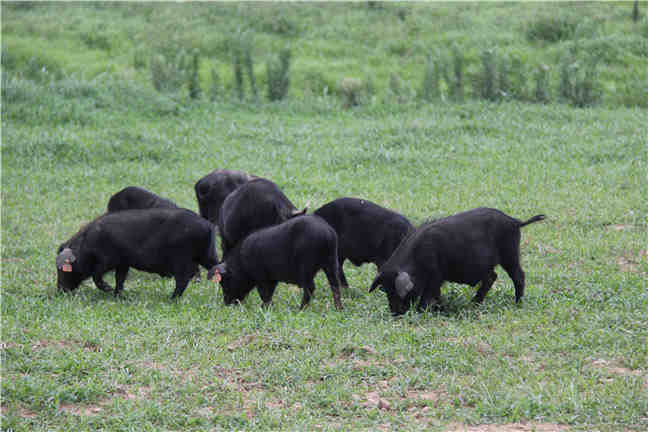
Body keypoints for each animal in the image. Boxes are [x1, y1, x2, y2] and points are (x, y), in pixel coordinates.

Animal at [56, 208, 218, 296]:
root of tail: (208, 225)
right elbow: (120, 279)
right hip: (207, 255)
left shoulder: (107, 260)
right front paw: (118, 295)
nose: (60, 290)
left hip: (182, 259)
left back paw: (171, 298)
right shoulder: (123, 263)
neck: (86, 245)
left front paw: (109, 289)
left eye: (62, 270)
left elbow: (97, 276)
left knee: (183, 279)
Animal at [210, 215, 344, 310]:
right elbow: (269, 293)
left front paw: (265, 308)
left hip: (306, 267)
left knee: (310, 288)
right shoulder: (272, 279)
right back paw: (339, 309)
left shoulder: (261, 277)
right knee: (335, 285)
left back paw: (300, 309)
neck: (241, 264)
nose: (227, 303)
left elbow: (264, 294)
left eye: (225, 282)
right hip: (332, 262)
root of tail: (327, 233)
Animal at [368, 208, 544, 316]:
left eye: (397, 292)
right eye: (386, 290)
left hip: (510, 254)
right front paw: (440, 308)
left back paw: (517, 303)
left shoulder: (436, 275)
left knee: (519, 276)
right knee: (492, 277)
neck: (416, 258)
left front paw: (422, 311)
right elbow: (436, 295)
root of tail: (515, 221)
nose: (395, 314)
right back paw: (474, 303)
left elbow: (429, 295)